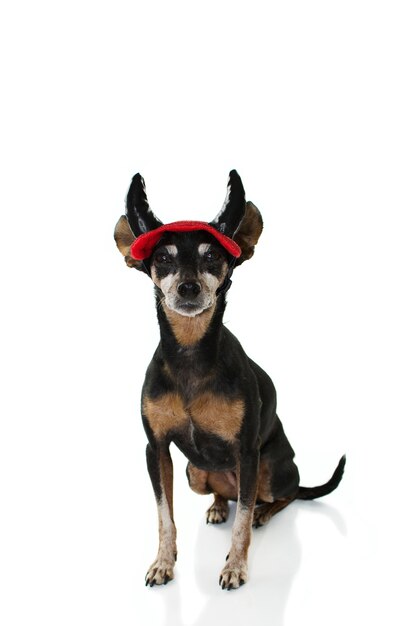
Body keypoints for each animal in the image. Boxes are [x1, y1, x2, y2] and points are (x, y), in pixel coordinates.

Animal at [114, 168, 344, 588]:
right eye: (162, 259)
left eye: (213, 256)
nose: (188, 288)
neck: (190, 354)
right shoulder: (156, 450)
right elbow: (164, 516)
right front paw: (163, 562)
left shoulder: (247, 452)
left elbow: (243, 528)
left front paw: (235, 567)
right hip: (194, 473)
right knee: (226, 496)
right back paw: (220, 506)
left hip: (270, 471)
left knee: (278, 496)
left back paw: (263, 512)